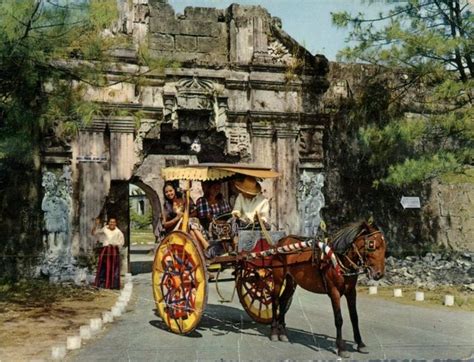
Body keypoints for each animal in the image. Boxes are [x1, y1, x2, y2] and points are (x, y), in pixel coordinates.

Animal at [270, 219, 386, 358]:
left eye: (385, 246)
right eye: (371, 245)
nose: (379, 274)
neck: (338, 261)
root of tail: (281, 241)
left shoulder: (351, 292)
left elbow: (354, 317)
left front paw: (360, 344)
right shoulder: (334, 292)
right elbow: (339, 319)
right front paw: (341, 348)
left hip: (291, 281)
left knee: (283, 300)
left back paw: (282, 333)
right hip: (278, 278)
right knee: (275, 300)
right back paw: (274, 332)